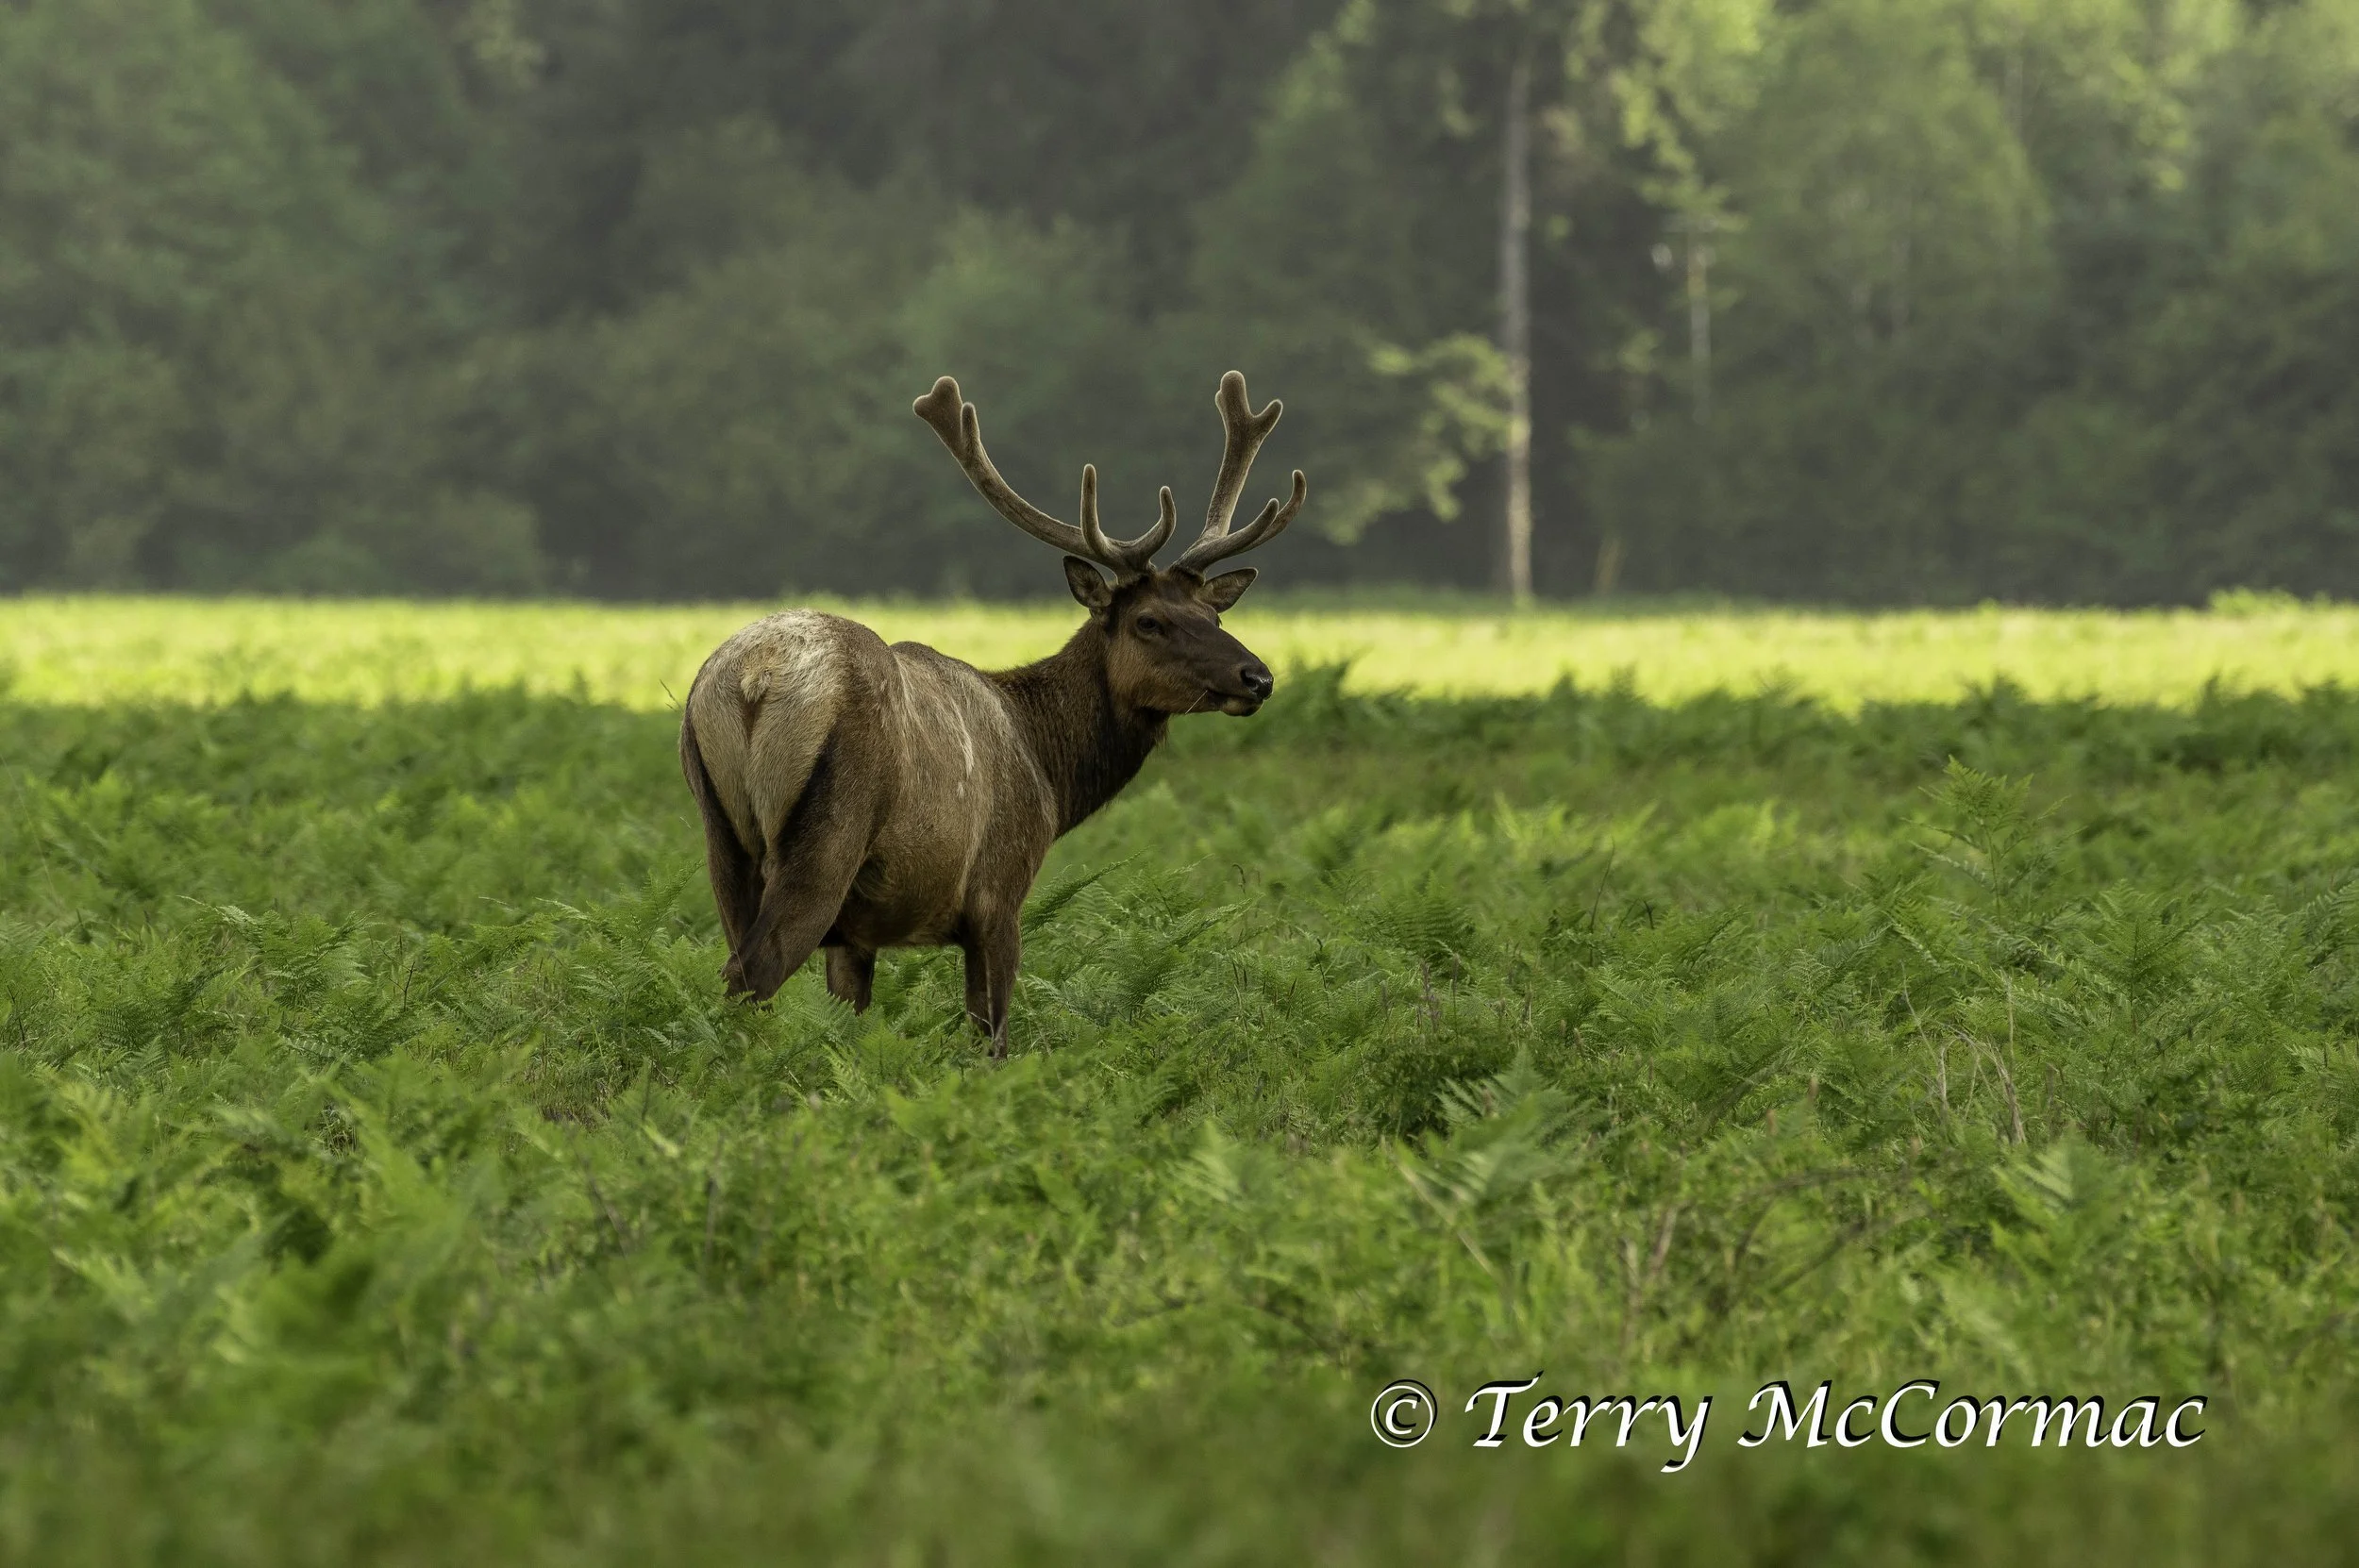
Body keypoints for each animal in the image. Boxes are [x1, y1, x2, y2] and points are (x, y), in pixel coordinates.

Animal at [678, 371, 1305, 1056]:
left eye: (1214, 614)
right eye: (1148, 621)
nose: (1258, 677)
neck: (1050, 772)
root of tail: (754, 678)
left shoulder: (858, 937)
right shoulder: (998, 894)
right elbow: (993, 1042)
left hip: (721, 837)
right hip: (827, 835)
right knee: (751, 974)